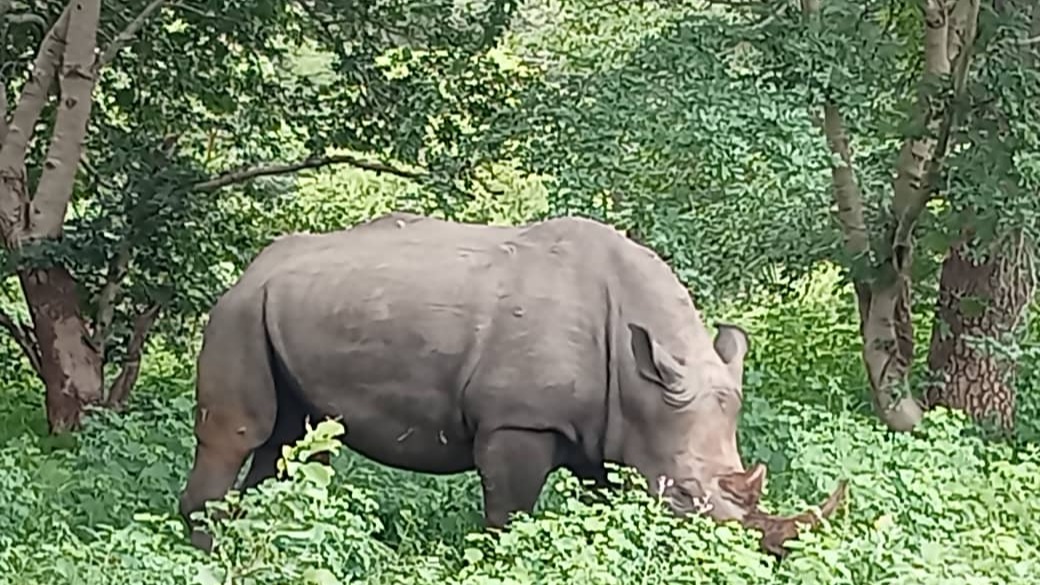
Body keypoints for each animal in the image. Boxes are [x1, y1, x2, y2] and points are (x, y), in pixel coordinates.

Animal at [178, 212, 844, 556]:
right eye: (681, 496)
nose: (758, 557)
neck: (643, 376)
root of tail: (251, 269)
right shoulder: (518, 420)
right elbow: (508, 515)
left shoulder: (609, 431)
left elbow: (602, 507)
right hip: (237, 312)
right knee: (242, 432)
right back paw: (204, 553)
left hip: (288, 307)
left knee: (292, 440)